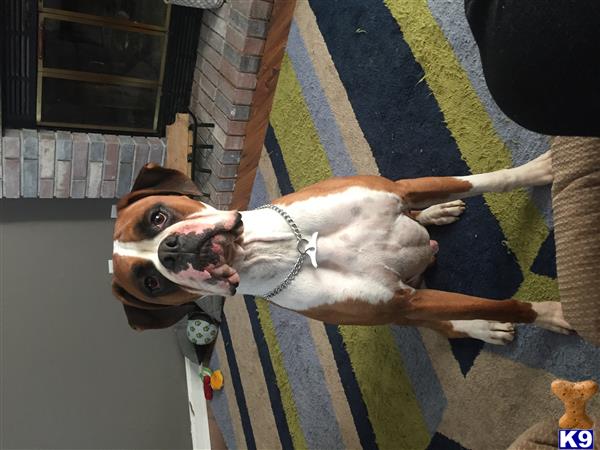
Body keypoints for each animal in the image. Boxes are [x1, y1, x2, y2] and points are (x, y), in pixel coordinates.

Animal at [111, 152, 572, 344]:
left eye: (157, 218)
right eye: (151, 283)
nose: (171, 251)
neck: (290, 248)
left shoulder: (402, 190)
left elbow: (485, 180)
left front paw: (542, 171)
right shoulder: (403, 302)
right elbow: (506, 305)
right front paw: (555, 313)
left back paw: (438, 212)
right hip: (413, 307)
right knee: (453, 320)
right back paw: (483, 328)